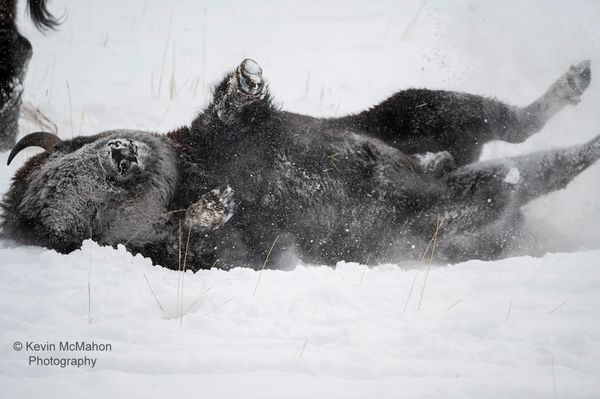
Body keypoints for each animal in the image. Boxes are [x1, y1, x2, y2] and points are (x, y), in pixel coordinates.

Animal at [1, 58, 596, 272]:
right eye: (85, 213)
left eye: (76, 149)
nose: (121, 156)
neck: (194, 175)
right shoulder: (228, 256)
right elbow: (192, 236)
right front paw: (209, 211)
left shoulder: (218, 138)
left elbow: (230, 114)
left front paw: (245, 80)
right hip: (428, 224)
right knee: (509, 182)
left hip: (413, 111)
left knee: (512, 126)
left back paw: (573, 87)